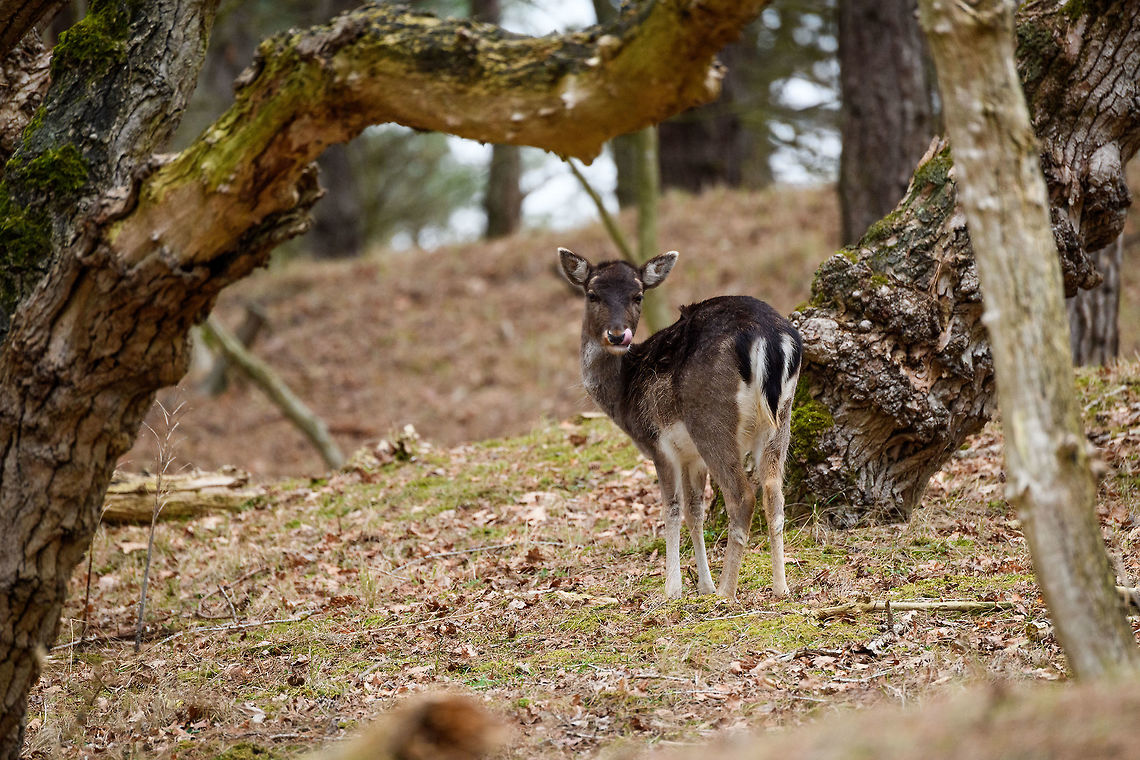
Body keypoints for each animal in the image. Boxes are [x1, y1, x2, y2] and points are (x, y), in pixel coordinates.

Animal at [558, 247, 802, 599]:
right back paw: (781, 587)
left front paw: (673, 589)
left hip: (711, 420)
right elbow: (694, 511)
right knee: (774, 493)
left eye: (638, 295)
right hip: (781, 418)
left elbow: (671, 510)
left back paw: (727, 592)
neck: (624, 395)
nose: (618, 335)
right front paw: (703, 584)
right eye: (592, 294)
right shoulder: (692, 457)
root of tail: (769, 337)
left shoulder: (659, 444)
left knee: (742, 496)